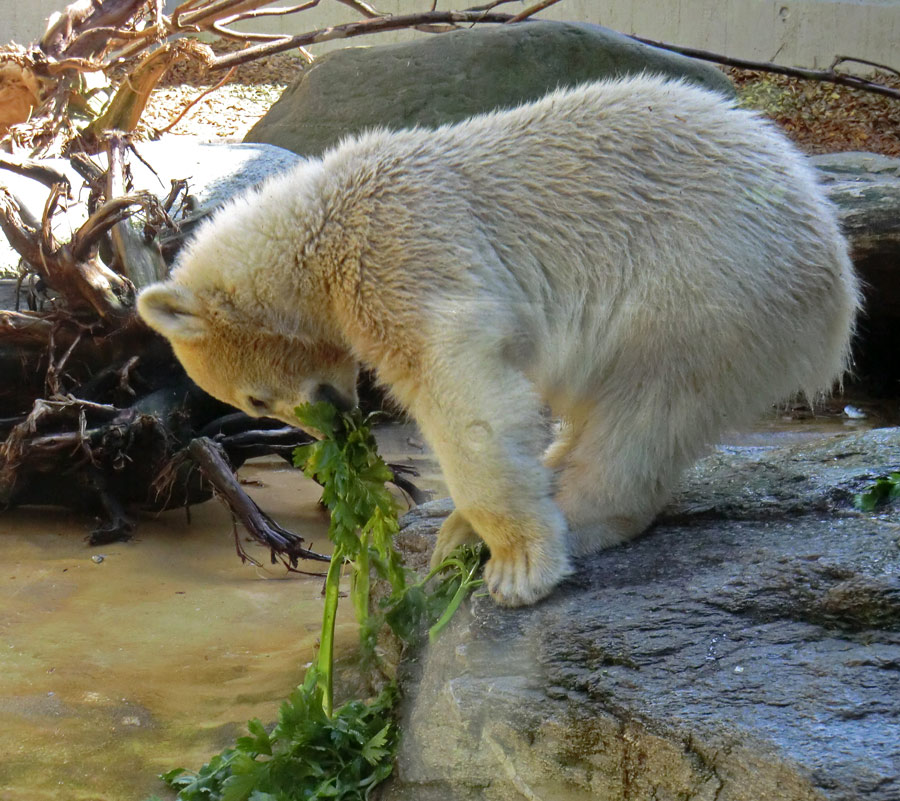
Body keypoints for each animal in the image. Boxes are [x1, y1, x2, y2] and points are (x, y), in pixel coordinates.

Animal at [139, 78, 856, 608]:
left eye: (254, 401)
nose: (337, 423)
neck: (320, 223)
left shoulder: (403, 248)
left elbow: (460, 387)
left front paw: (516, 558)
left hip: (710, 279)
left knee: (650, 404)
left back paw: (553, 522)